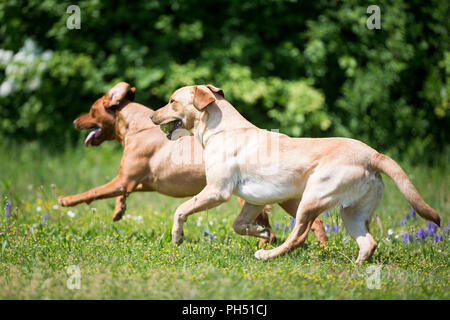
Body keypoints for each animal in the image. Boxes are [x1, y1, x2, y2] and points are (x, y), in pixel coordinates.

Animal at [59, 83, 326, 245]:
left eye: (91, 110)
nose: (73, 121)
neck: (137, 128)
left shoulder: (125, 179)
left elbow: (91, 192)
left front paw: (66, 200)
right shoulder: (135, 182)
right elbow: (120, 194)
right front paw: (118, 210)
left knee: (304, 222)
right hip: (280, 197)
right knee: (305, 222)